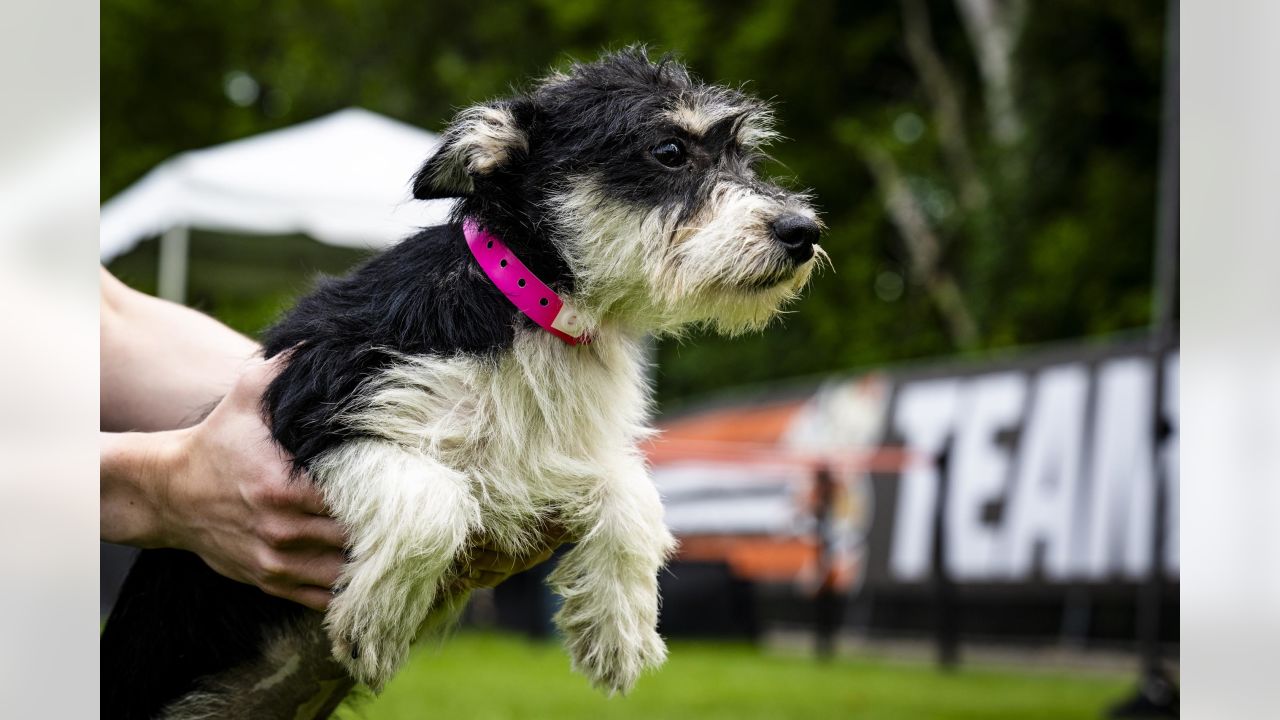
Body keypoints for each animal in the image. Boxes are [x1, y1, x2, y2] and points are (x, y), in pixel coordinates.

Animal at [97, 47, 819, 712]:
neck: (537, 312)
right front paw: (377, 620)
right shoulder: (316, 411)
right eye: (669, 150)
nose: (804, 231)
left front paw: (618, 630)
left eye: (745, 158)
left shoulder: (567, 457)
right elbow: (433, 500)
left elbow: (635, 494)